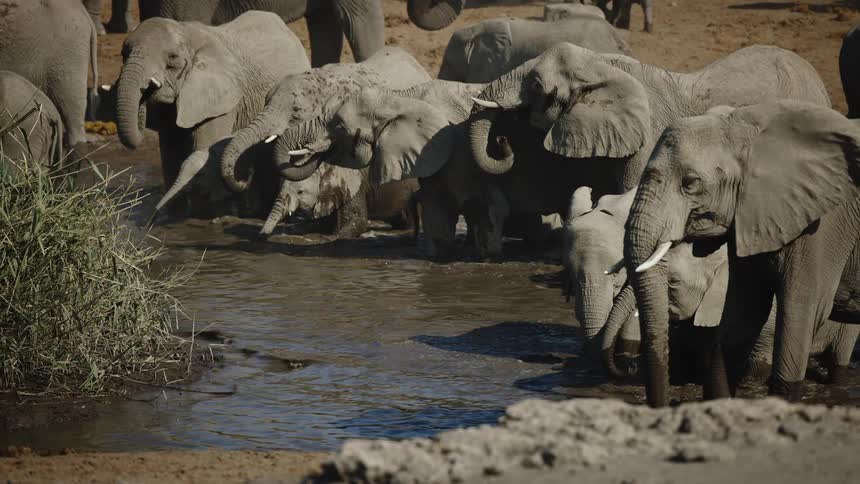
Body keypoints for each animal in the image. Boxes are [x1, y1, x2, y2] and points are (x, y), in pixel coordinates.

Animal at [114, 11, 310, 222]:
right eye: (123, 53)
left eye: (172, 58)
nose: (147, 90)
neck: (186, 34)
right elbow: (170, 152)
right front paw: (175, 218)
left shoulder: (220, 100)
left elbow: (203, 149)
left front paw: (206, 218)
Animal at [273, 80, 613, 260]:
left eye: (339, 127)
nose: (502, 140)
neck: (400, 96)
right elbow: (437, 217)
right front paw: (440, 256)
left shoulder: (459, 149)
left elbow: (488, 209)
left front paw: (487, 257)